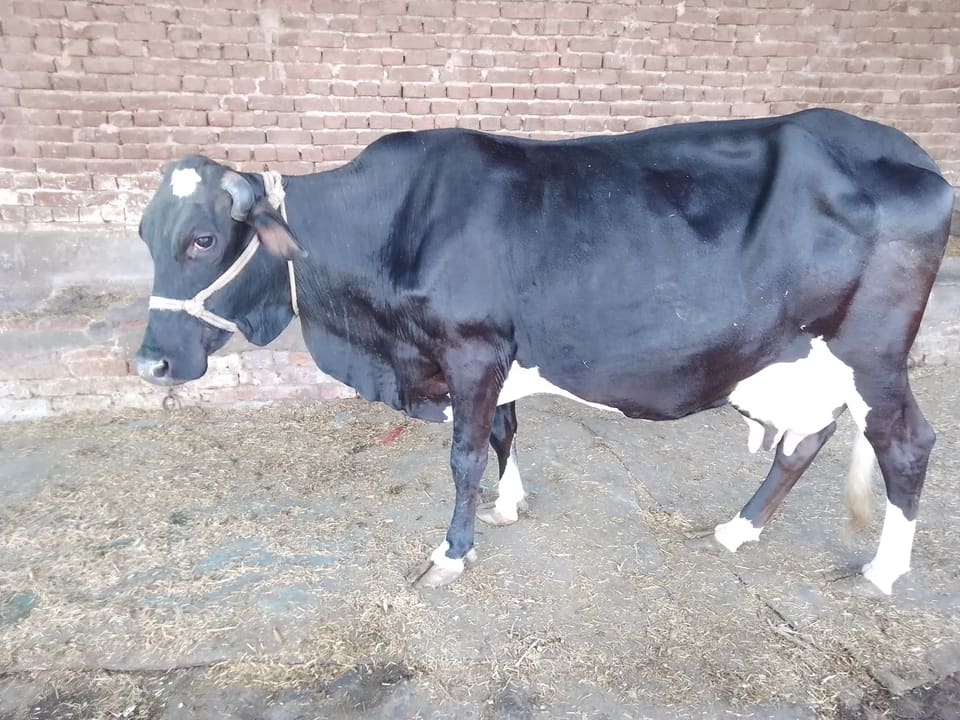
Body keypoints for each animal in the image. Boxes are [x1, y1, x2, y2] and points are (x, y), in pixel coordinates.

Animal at [134, 108, 954, 595]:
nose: (149, 364)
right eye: (145, 234)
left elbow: (464, 452)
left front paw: (451, 552)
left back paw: (883, 569)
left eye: (203, 237)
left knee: (906, 442)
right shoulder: (492, 356)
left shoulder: (471, 347)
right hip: (793, 360)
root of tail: (904, 149)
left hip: (872, 353)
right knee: (804, 438)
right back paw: (738, 528)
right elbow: (503, 429)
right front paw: (508, 504)